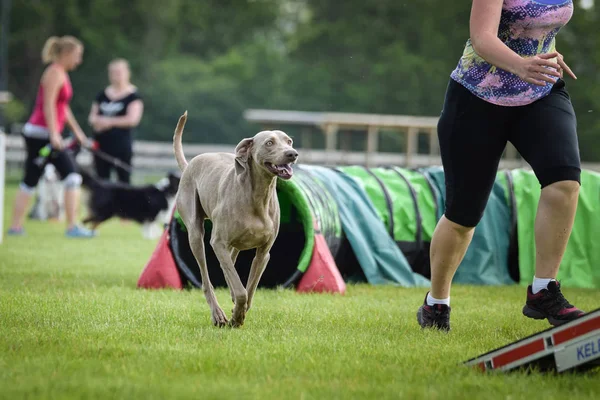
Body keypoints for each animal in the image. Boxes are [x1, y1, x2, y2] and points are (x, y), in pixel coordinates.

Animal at [171, 111, 298, 326]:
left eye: (288, 141)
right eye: (269, 143)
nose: (292, 153)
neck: (259, 196)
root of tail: (190, 164)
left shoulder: (264, 253)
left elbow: (249, 290)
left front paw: (239, 312)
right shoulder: (218, 242)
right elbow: (241, 292)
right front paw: (236, 317)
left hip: (234, 245)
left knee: (228, 265)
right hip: (196, 234)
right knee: (207, 278)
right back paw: (218, 314)